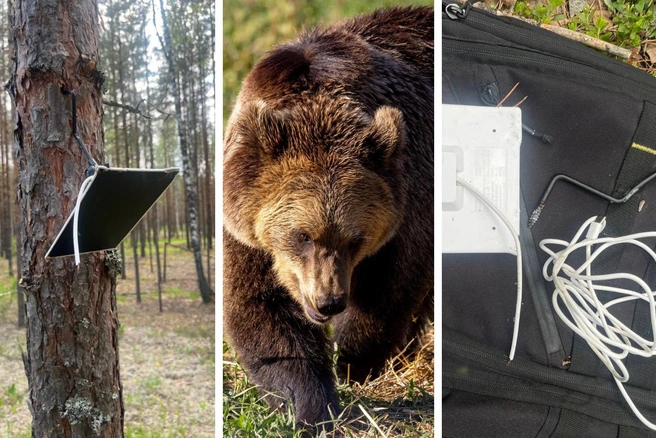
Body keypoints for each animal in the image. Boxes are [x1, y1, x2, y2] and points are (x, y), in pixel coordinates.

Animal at [223, 6, 434, 429]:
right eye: (302, 235)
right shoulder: (246, 228)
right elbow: (261, 310)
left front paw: (352, 362)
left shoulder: (408, 201)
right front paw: (311, 407)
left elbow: (389, 293)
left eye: (356, 238)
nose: (328, 302)